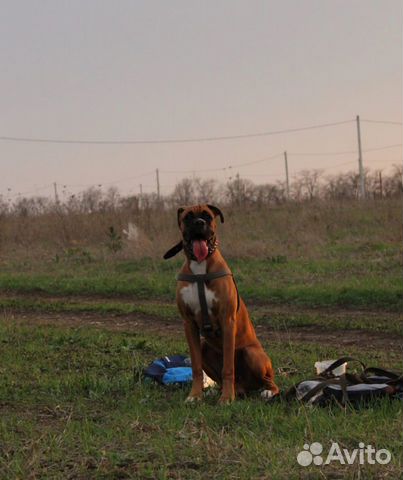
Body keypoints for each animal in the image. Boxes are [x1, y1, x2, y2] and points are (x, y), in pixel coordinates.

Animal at [163, 204, 280, 404]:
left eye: (207, 216)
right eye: (188, 217)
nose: (199, 223)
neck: (200, 269)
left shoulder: (227, 320)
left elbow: (228, 368)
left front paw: (226, 398)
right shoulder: (189, 323)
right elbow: (195, 367)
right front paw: (195, 395)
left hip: (252, 353)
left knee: (269, 381)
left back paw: (266, 391)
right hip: (204, 346)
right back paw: (220, 391)